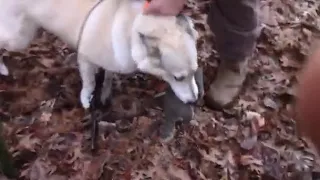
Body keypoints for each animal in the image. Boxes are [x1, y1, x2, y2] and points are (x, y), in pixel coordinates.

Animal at [0, 0, 199, 108]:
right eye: (178, 78)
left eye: (195, 72)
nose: (194, 102)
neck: (130, 29)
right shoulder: (85, 59)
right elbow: (89, 82)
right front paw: (87, 98)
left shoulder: (111, 62)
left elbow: (108, 76)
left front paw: (104, 92)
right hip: (18, 38)